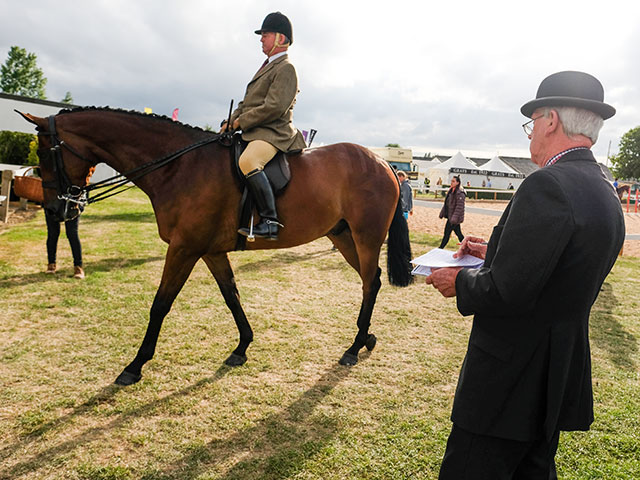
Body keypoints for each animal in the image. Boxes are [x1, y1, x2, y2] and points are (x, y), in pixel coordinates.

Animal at [20, 108, 412, 386]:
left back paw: (353, 347)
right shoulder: (209, 250)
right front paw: (242, 347)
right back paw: (366, 338)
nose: (55, 210)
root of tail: (385, 163)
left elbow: (161, 304)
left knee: (370, 282)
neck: (178, 166)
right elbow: (231, 295)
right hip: (342, 235)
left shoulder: (184, 248)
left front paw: (134, 366)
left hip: (365, 236)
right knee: (372, 279)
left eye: (45, 152)